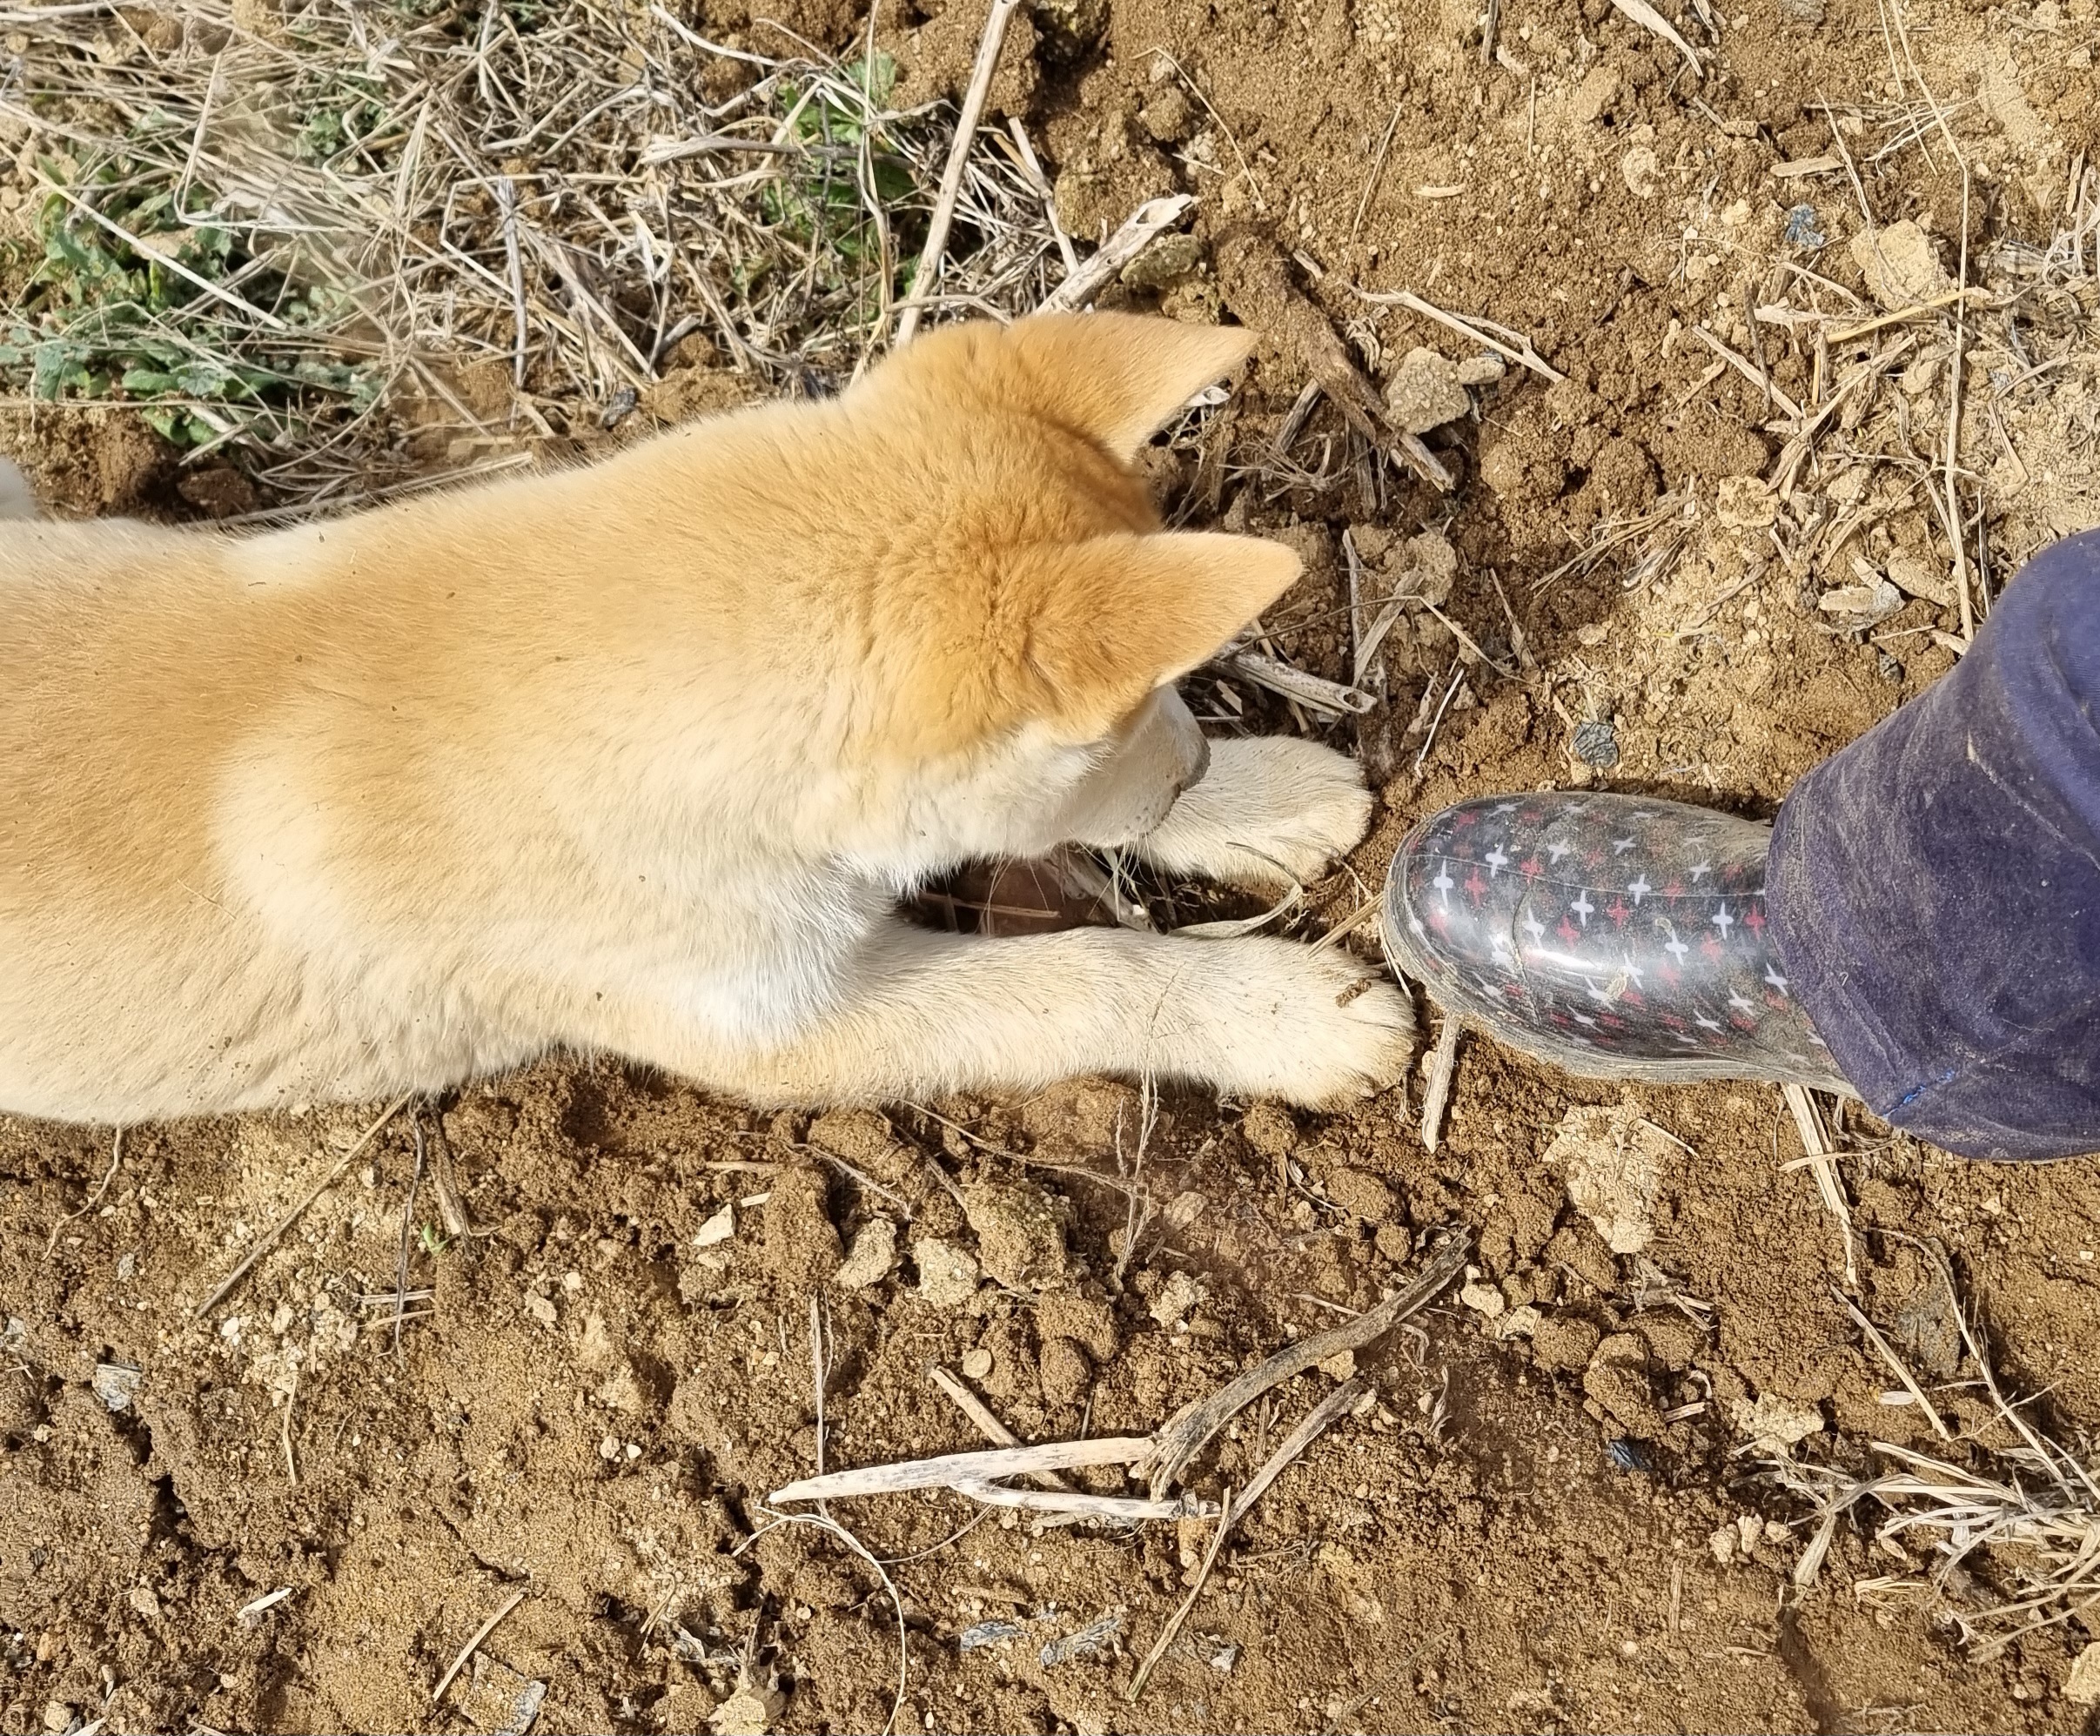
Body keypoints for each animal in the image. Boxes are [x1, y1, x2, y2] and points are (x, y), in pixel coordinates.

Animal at [3, 314, 1411, 1125]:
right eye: (1107, 739)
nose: (1196, 765)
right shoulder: (788, 1031)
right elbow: (1079, 975)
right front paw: (1274, 1015)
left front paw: (1266, 801)